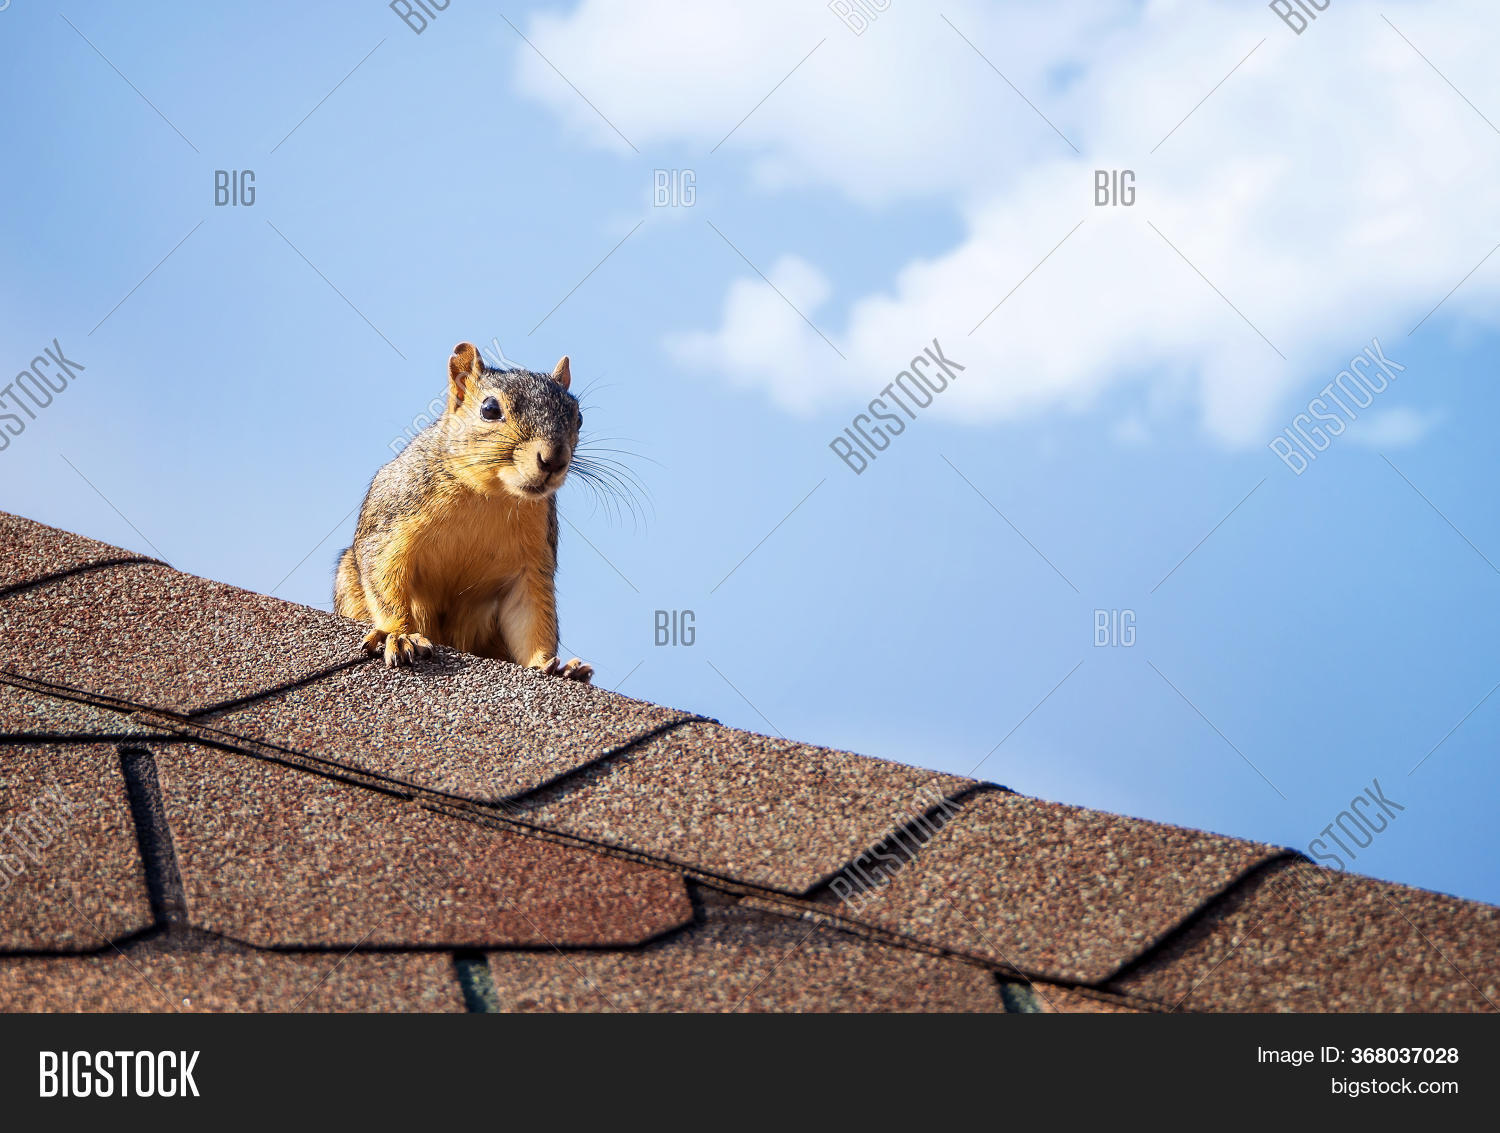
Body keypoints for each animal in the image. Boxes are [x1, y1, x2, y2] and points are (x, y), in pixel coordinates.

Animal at [334, 342, 593, 682]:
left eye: (579, 418)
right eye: (490, 409)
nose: (554, 460)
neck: (489, 495)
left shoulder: (531, 562)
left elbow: (531, 616)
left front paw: (548, 664)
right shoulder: (392, 523)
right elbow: (385, 577)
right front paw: (399, 634)